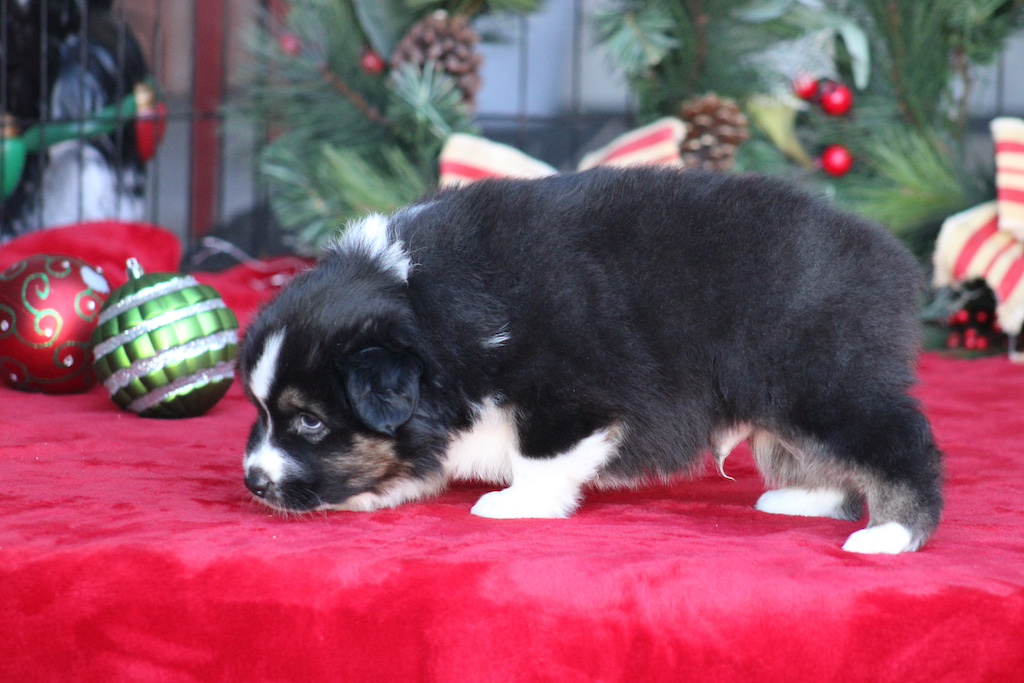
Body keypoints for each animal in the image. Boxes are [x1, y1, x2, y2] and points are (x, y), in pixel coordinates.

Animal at [239, 167, 943, 554]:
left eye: (309, 421)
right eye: (260, 412)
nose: (253, 482)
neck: (425, 304)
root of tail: (890, 260)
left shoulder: (565, 394)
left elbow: (540, 456)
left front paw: (516, 505)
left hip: (824, 379)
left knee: (901, 445)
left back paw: (891, 535)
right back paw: (801, 499)